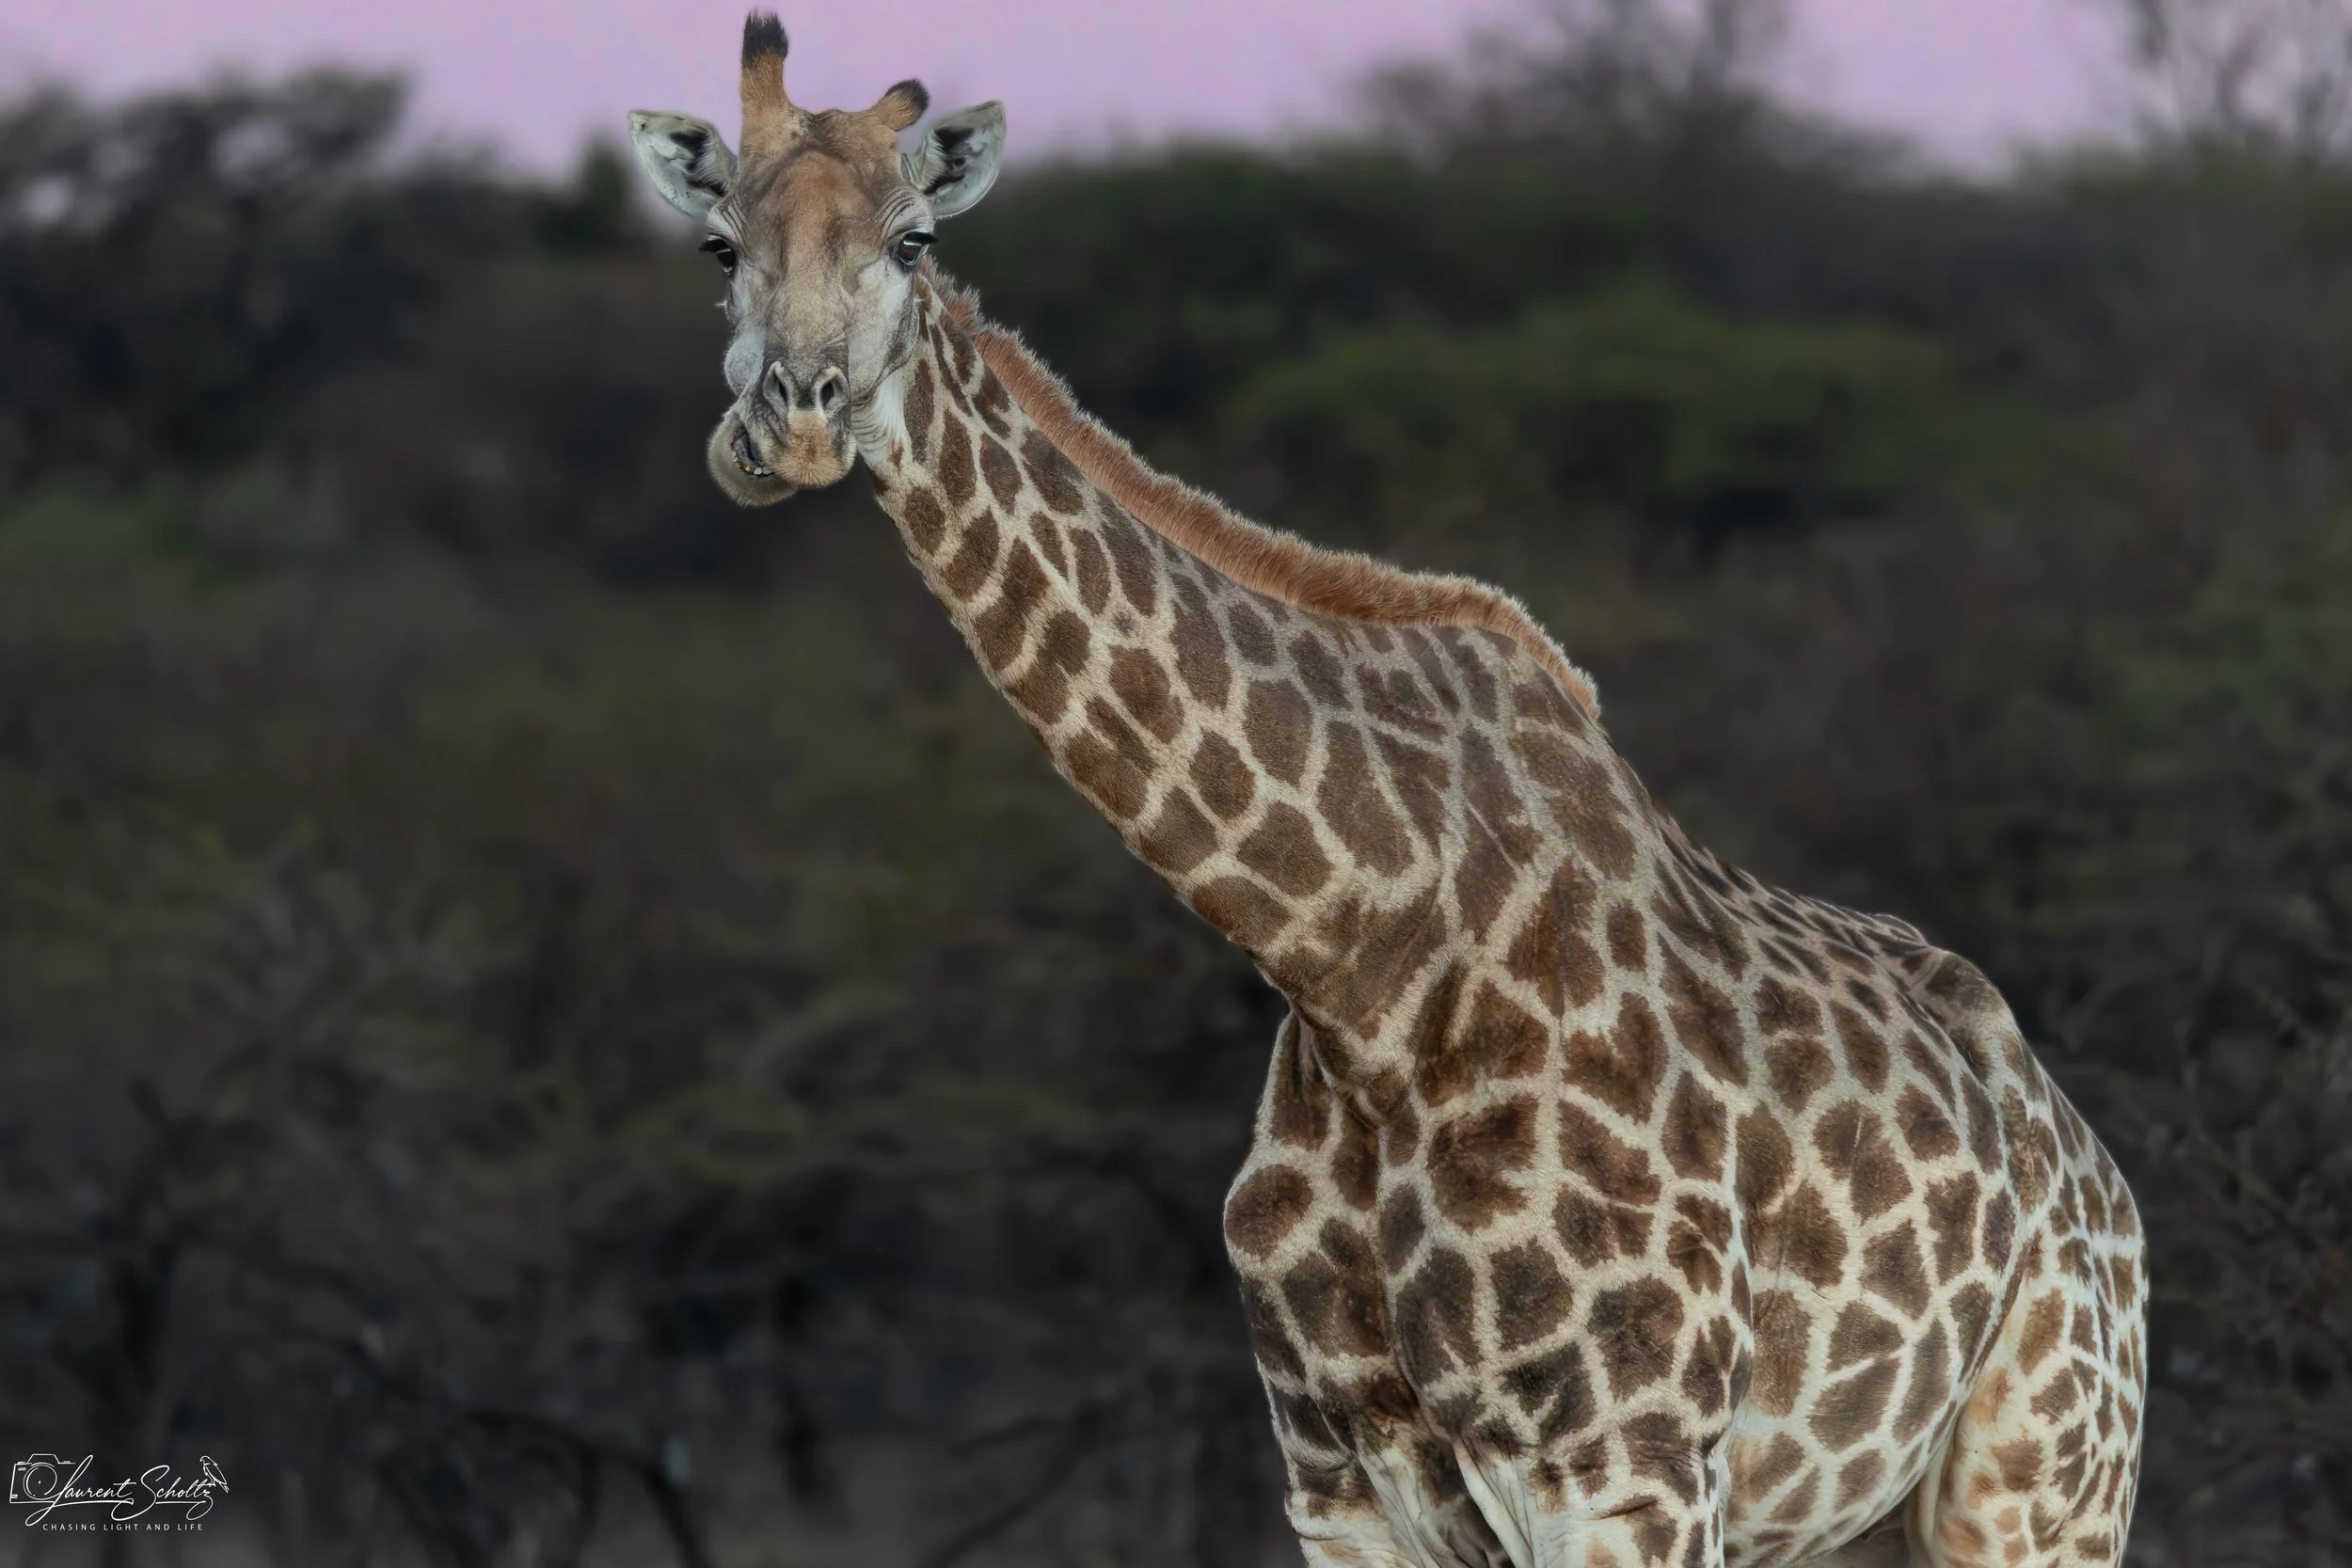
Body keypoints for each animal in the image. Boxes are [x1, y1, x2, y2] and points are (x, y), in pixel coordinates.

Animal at [624, 17, 2147, 1566]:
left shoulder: (1629, 1467)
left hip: (2042, 1478)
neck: (1357, 963)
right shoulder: (1339, 1479)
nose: (793, 427)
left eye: (915, 238)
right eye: (717, 243)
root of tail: (2089, 1165)